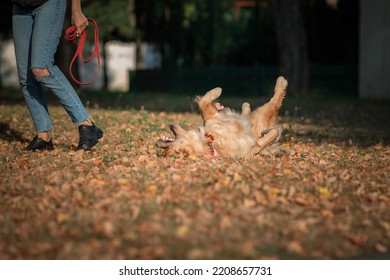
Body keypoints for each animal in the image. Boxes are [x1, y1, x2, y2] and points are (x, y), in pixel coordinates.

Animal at [157, 76, 288, 160]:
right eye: (167, 151)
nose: (157, 143)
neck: (211, 141)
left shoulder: (211, 118)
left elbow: (203, 102)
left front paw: (217, 92)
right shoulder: (246, 154)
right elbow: (269, 136)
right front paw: (262, 139)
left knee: (248, 112)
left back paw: (245, 106)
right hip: (262, 114)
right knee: (275, 101)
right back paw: (281, 81)